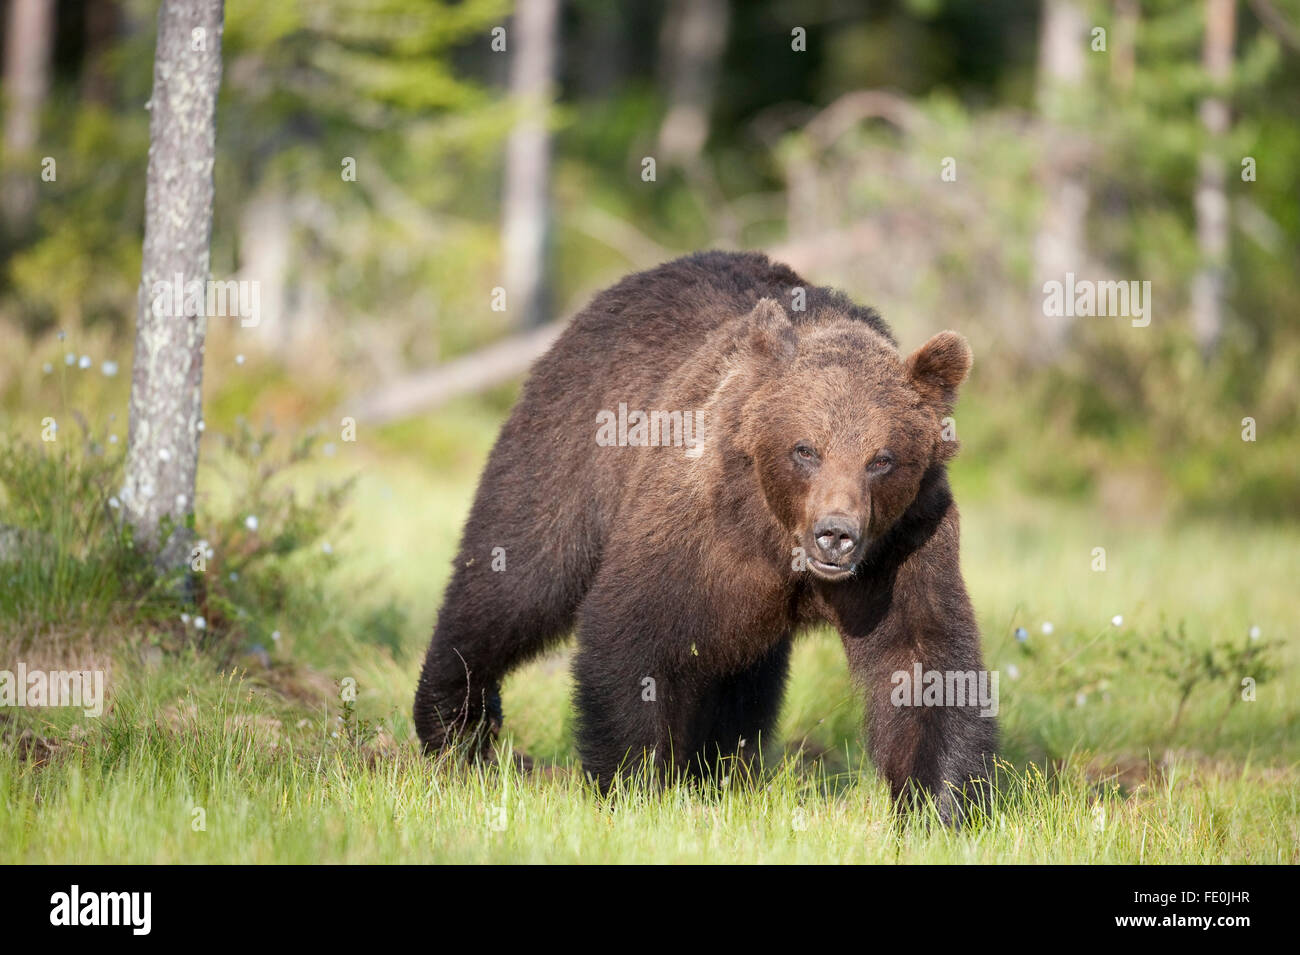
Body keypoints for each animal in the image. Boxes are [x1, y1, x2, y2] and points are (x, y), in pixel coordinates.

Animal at [413, 250, 997, 823]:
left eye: (882, 459)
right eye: (806, 449)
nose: (836, 535)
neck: (778, 539)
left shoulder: (903, 549)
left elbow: (923, 659)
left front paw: (940, 807)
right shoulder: (697, 523)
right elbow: (635, 634)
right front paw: (632, 785)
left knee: (743, 680)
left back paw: (717, 772)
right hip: (569, 445)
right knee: (516, 578)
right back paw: (453, 728)